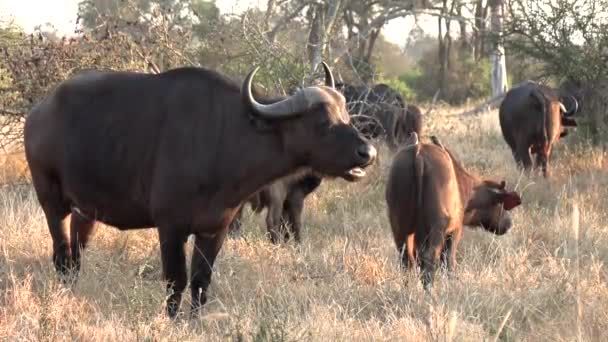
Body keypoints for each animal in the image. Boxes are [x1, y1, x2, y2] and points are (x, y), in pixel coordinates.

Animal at [26, 61, 378, 318]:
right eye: (322, 122)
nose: (368, 152)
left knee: (76, 255)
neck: (225, 139)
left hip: (85, 211)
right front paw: (171, 319)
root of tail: (38, 113)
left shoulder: (215, 229)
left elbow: (200, 281)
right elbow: (175, 280)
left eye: (346, 114)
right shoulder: (170, 228)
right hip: (52, 202)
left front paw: (194, 320)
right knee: (61, 255)